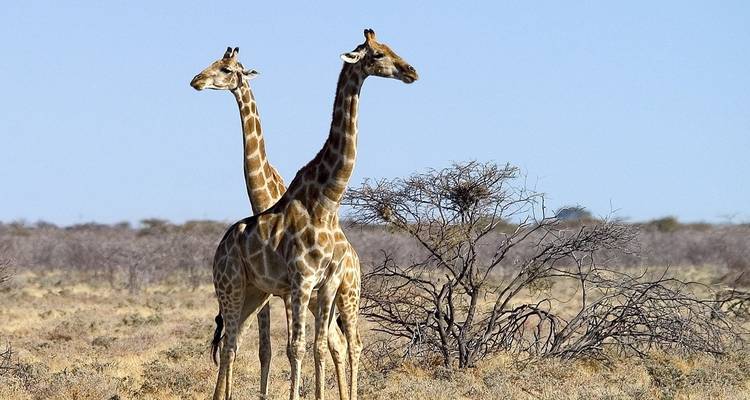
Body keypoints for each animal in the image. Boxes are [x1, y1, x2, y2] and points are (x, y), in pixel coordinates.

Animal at [190, 47, 357, 399]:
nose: (196, 80)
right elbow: (260, 347)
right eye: (213, 63)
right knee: (333, 341)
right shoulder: (268, 290)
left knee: (344, 343)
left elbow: (283, 347)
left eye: (225, 69)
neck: (264, 196)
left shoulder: (284, 292)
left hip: (345, 292)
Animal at [209, 29, 417, 400]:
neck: (327, 201)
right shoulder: (299, 282)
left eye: (388, 48)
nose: (411, 71)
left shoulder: (324, 283)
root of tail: (220, 248)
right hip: (234, 287)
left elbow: (315, 346)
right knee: (232, 343)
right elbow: (294, 347)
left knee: (347, 343)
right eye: (378, 54)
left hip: (314, 293)